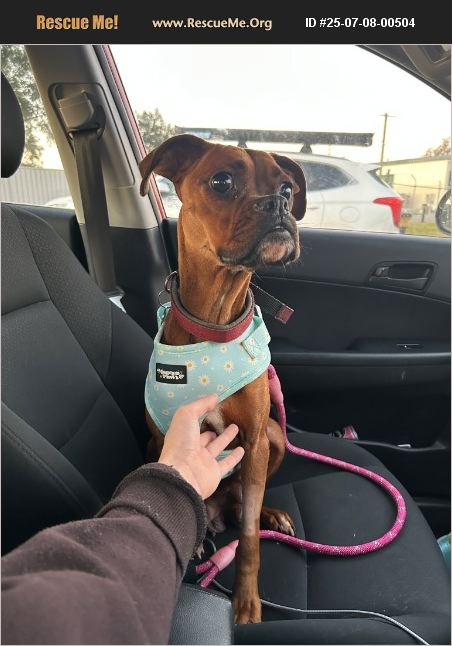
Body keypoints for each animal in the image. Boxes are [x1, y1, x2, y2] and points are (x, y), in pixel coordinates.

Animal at [139, 134, 306, 624]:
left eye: (286, 187)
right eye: (222, 181)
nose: (279, 203)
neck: (213, 323)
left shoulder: (254, 438)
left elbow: (248, 537)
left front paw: (247, 599)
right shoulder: (168, 439)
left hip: (274, 437)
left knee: (244, 505)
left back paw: (270, 514)